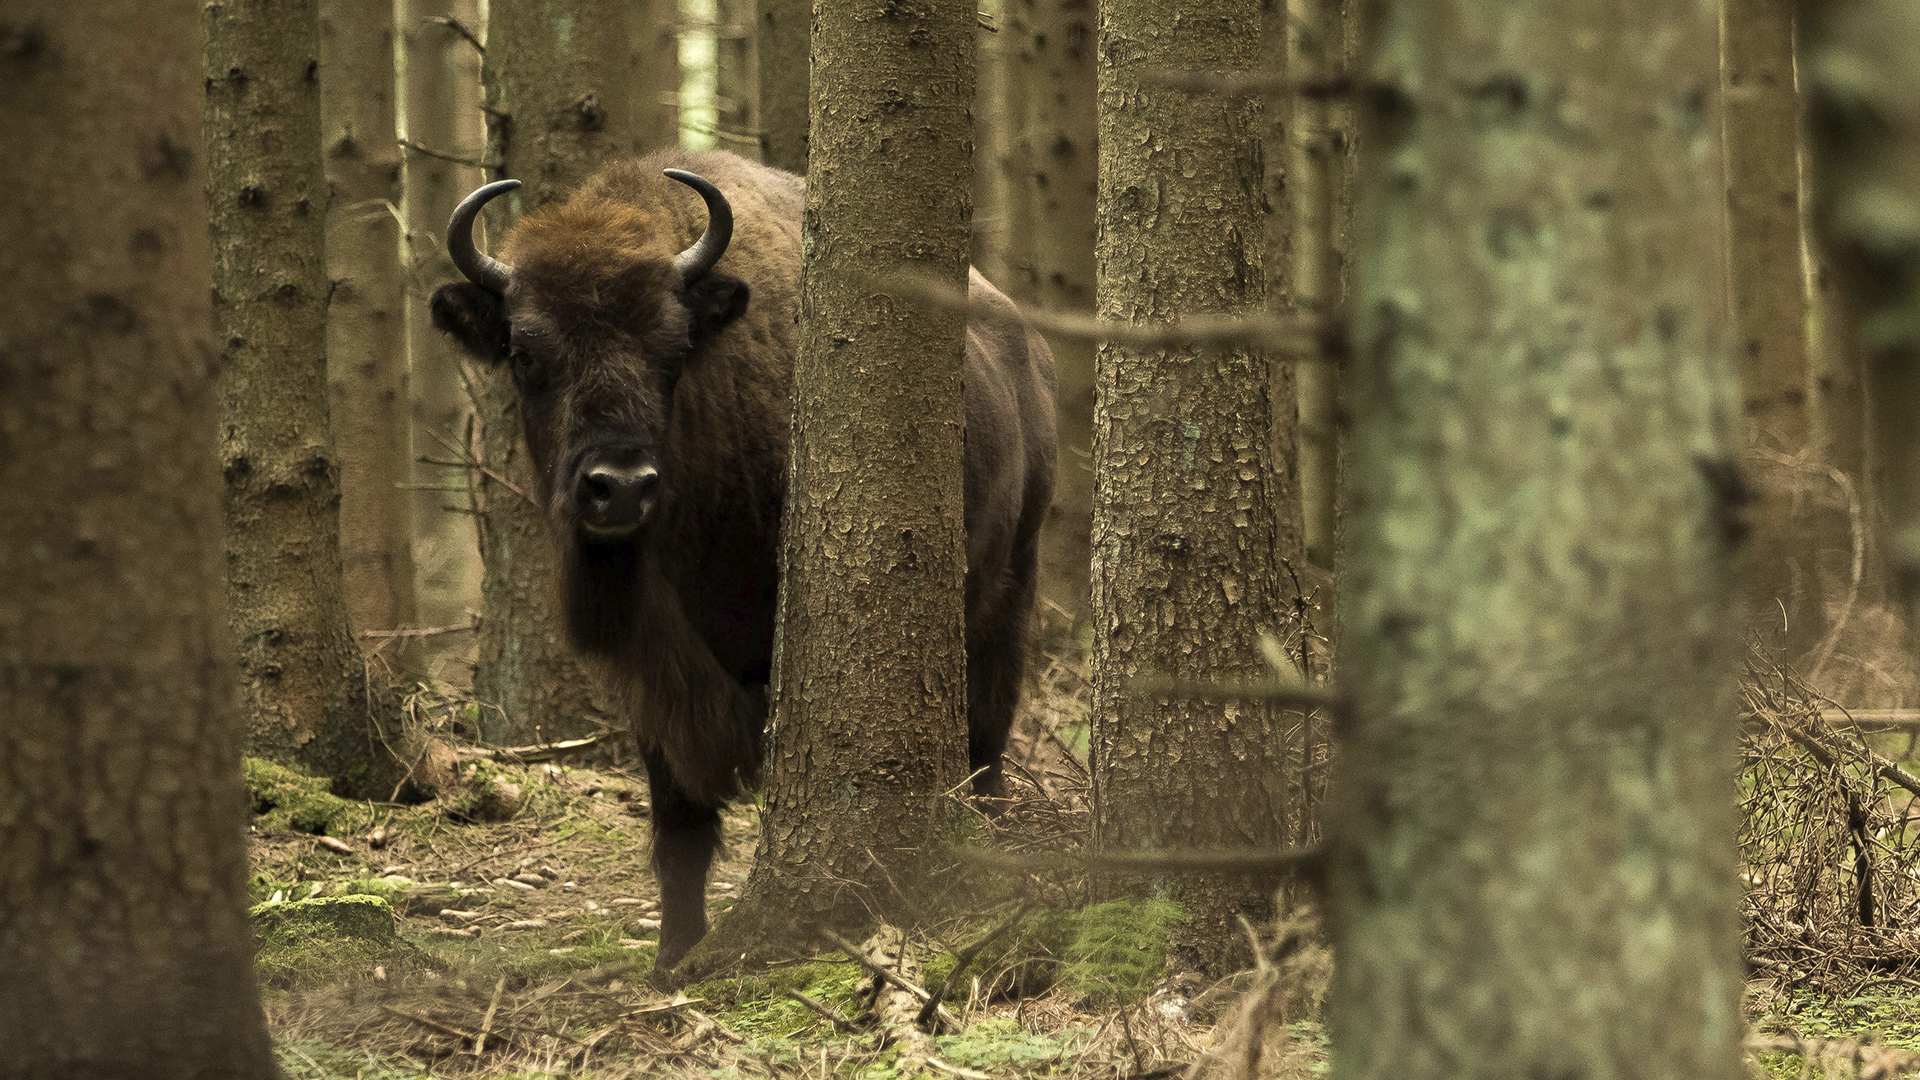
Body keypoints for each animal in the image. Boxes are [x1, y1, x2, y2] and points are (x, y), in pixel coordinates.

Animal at [430, 150, 1057, 968]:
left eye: (672, 351)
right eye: (527, 352)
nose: (619, 485)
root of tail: (1027, 348)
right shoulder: (656, 675)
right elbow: (679, 825)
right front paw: (674, 955)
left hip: (1009, 593)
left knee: (989, 737)